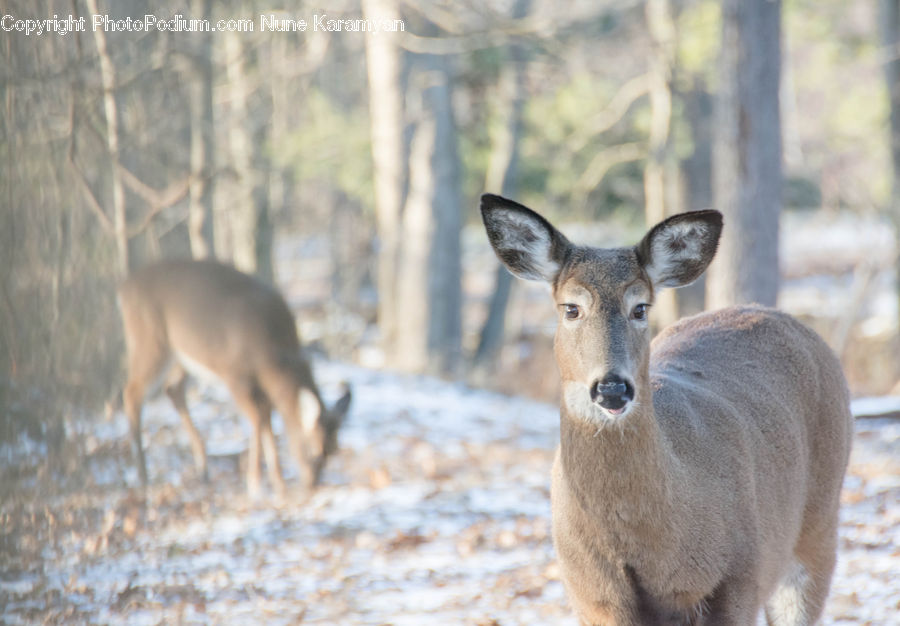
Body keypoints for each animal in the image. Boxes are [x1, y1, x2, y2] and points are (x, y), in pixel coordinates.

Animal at [117, 258, 352, 497]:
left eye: (333, 450)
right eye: (313, 450)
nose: (312, 484)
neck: (273, 357)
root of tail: (124, 287)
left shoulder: (262, 388)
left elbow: (267, 420)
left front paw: (278, 483)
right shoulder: (235, 375)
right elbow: (258, 419)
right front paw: (255, 484)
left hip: (181, 355)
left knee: (172, 389)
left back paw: (202, 468)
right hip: (150, 340)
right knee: (132, 392)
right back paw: (143, 476)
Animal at [481, 194, 853, 625]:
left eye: (640, 307)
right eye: (571, 308)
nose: (612, 389)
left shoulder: (742, 573)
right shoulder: (592, 594)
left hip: (817, 524)